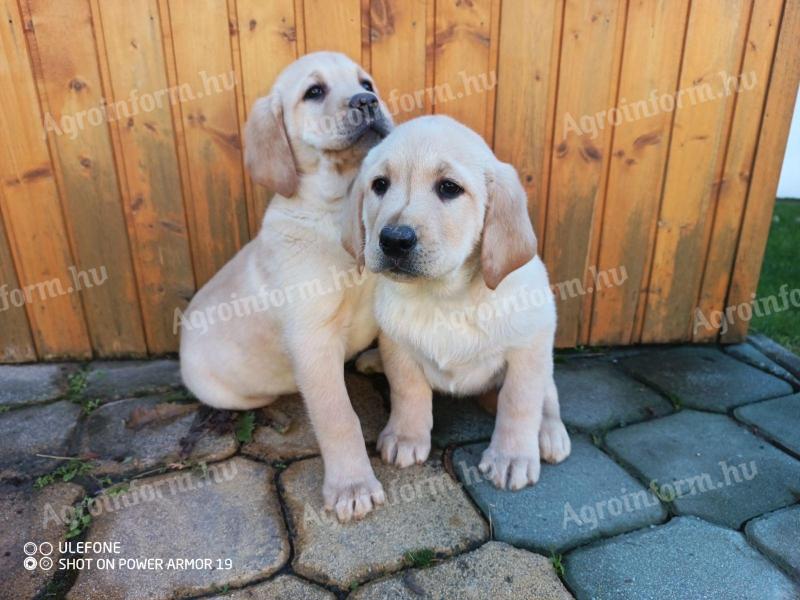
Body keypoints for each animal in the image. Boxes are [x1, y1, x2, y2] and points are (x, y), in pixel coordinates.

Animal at [182, 51, 394, 520]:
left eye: (366, 83)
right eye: (313, 92)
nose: (367, 102)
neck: (339, 209)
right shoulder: (313, 339)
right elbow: (339, 417)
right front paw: (352, 485)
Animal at [342, 116, 568, 492]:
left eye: (449, 188)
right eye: (380, 185)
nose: (394, 240)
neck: (444, 295)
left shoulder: (528, 346)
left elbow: (520, 402)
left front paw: (512, 457)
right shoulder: (398, 346)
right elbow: (408, 391)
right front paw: (406, 436)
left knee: (547, 393)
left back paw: (550, 434)